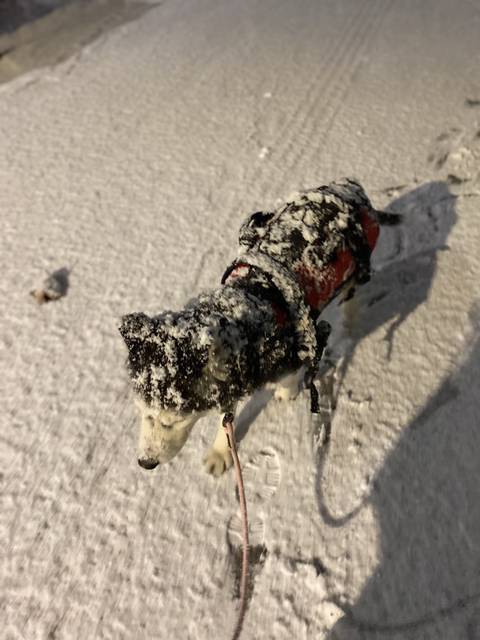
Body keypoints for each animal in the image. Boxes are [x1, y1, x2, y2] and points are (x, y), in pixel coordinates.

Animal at [119, 179, 382, 476]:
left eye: (172, 420)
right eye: (143, 411)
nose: (145, 463)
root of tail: (349, 188)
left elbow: (289, 374)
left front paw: (287, 391)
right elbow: (227, 421)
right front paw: (221, 452)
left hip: (355, 274)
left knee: (352, 301)